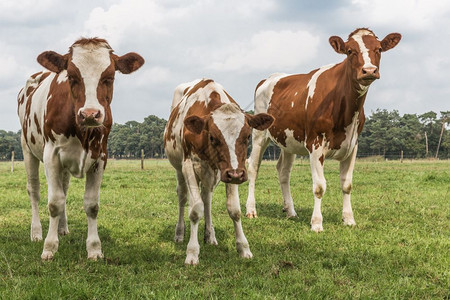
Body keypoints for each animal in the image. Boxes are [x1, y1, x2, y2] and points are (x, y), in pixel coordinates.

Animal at [17, 38, 144, 260]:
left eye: (109, 77)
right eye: (71, 76)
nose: (90, 114)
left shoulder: (101, 156)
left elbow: (91, 204)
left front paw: (94, 248)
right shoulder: (51, 156)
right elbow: (54, 202)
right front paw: (49, 247)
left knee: (64, 189)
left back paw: (62, 228)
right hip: (27, 150)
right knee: (34, 190)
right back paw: (36, 232)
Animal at [163, 78, 272, 264]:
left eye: (247, 137)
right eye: (213, 137)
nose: (236, 174)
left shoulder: (231, 170)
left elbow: (234, 209)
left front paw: (243, 248)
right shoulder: (188, 165)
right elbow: (195, 210)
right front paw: (192, 252)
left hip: (211, 174)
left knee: (207, 199)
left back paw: (210, 236)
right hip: (180, 169)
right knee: (183, 197)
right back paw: (179, 234)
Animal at [246, 28, 400, 232]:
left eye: (379, 49)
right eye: (350, 51)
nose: (369, 70)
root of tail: (270, 78)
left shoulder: (353, 145)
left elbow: (347, 184)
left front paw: (349, 219)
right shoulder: (315, 144)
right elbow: (319, 187)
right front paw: (317, 223)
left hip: (288, 140)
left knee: (283, 171)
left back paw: (290, 211)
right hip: (260, 134)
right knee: (253, 167)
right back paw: (251, 210)